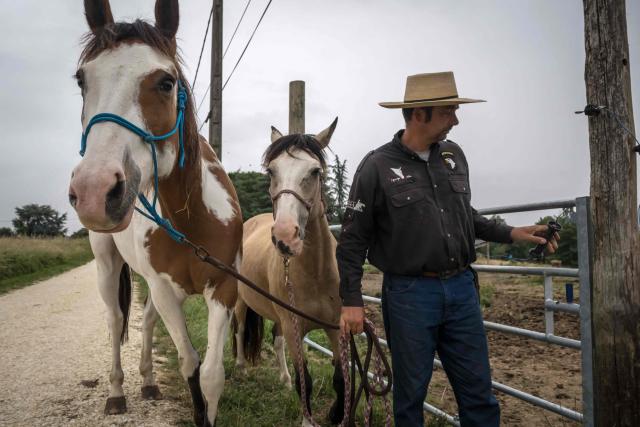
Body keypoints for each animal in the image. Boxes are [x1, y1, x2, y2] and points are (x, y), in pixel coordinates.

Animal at [68, 1, 242, 426]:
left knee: (145, 321)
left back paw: (147, 383)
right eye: (82, 80)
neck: (192, 222)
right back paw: (116, 393)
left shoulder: (223, 289)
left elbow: (211, 375)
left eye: (166, 82)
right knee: (117, 320)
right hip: (108, 264)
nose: (95, 190)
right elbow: (190, 363)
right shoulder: (164, 288)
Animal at [232, 119, 345, 426]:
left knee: (277, 339)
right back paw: (240, 368)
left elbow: (340, 376)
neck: (316, 274)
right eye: (272, 171)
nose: (284, 237)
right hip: (241, 302)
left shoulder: (335, 327)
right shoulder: (294, 325)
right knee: (240, 329)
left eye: (315, 171)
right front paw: (307, 420)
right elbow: (303, 379)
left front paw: (337, 414)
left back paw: (282, 377)